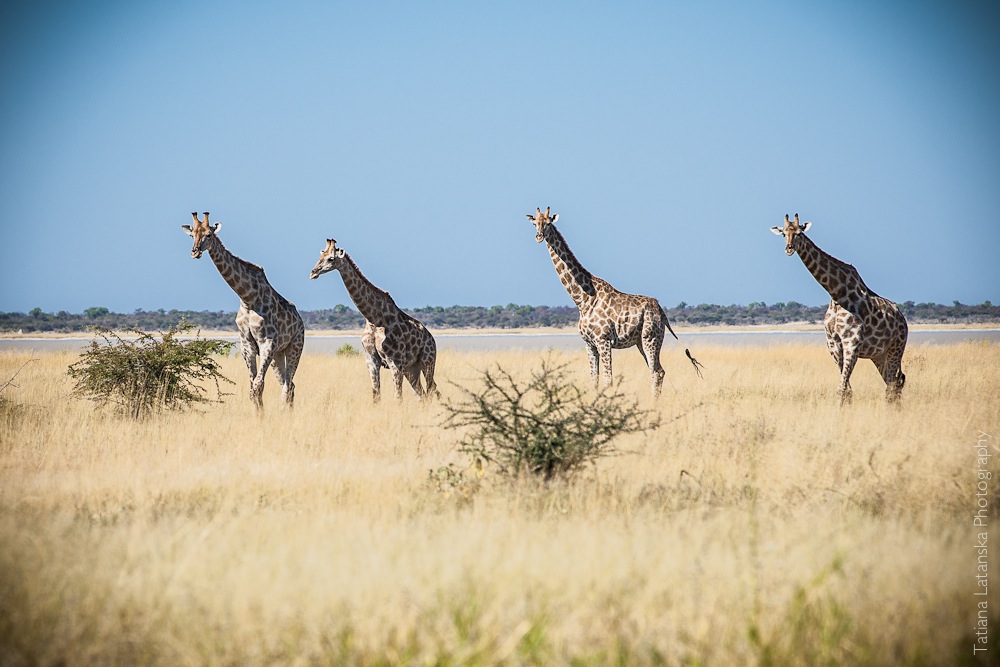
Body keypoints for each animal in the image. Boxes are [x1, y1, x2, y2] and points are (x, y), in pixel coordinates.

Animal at [180, 211, 304, 410]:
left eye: (209, 234)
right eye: (192, 235)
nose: (195, 252)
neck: (248, 298)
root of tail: (300, 320)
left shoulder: (267, 342)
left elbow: (258, 385)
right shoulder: (247, 345)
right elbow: (252, 389)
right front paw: (258, 415)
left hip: (295, 346)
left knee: (287, 385)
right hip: (278, 354)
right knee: (289, 384)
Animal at [306, 243, 440, 404]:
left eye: (331, 258)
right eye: (321, 256)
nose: (313, 273)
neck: (374, 318)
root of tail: (432, 339)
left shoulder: (395, 361)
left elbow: (398, 397)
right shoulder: (371, 360)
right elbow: (376, 396)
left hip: (427, 361)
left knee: (431, 389)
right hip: (411, 368)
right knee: (423, 394)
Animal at [524, 207, 704, 396]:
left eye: (548, 223)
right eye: (535, 223)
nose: (538, 236)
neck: (582, 300)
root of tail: (661, 311)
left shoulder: (603, 341)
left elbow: (608, 380)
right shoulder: (589, 344)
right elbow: (594, 380)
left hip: (651, 337)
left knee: (656, 371)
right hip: (641, 341)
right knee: (658, 370)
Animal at [772, 215, 908, 402]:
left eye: (799, 233)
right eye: (784, 234)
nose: (789, 248)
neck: (837, 294)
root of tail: (903, 320)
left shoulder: (852, 343)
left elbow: (842, 388)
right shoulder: (833, 345)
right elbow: (847, 390)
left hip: (896, 349)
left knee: (893, 386)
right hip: (879, 355)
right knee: (892, 384)